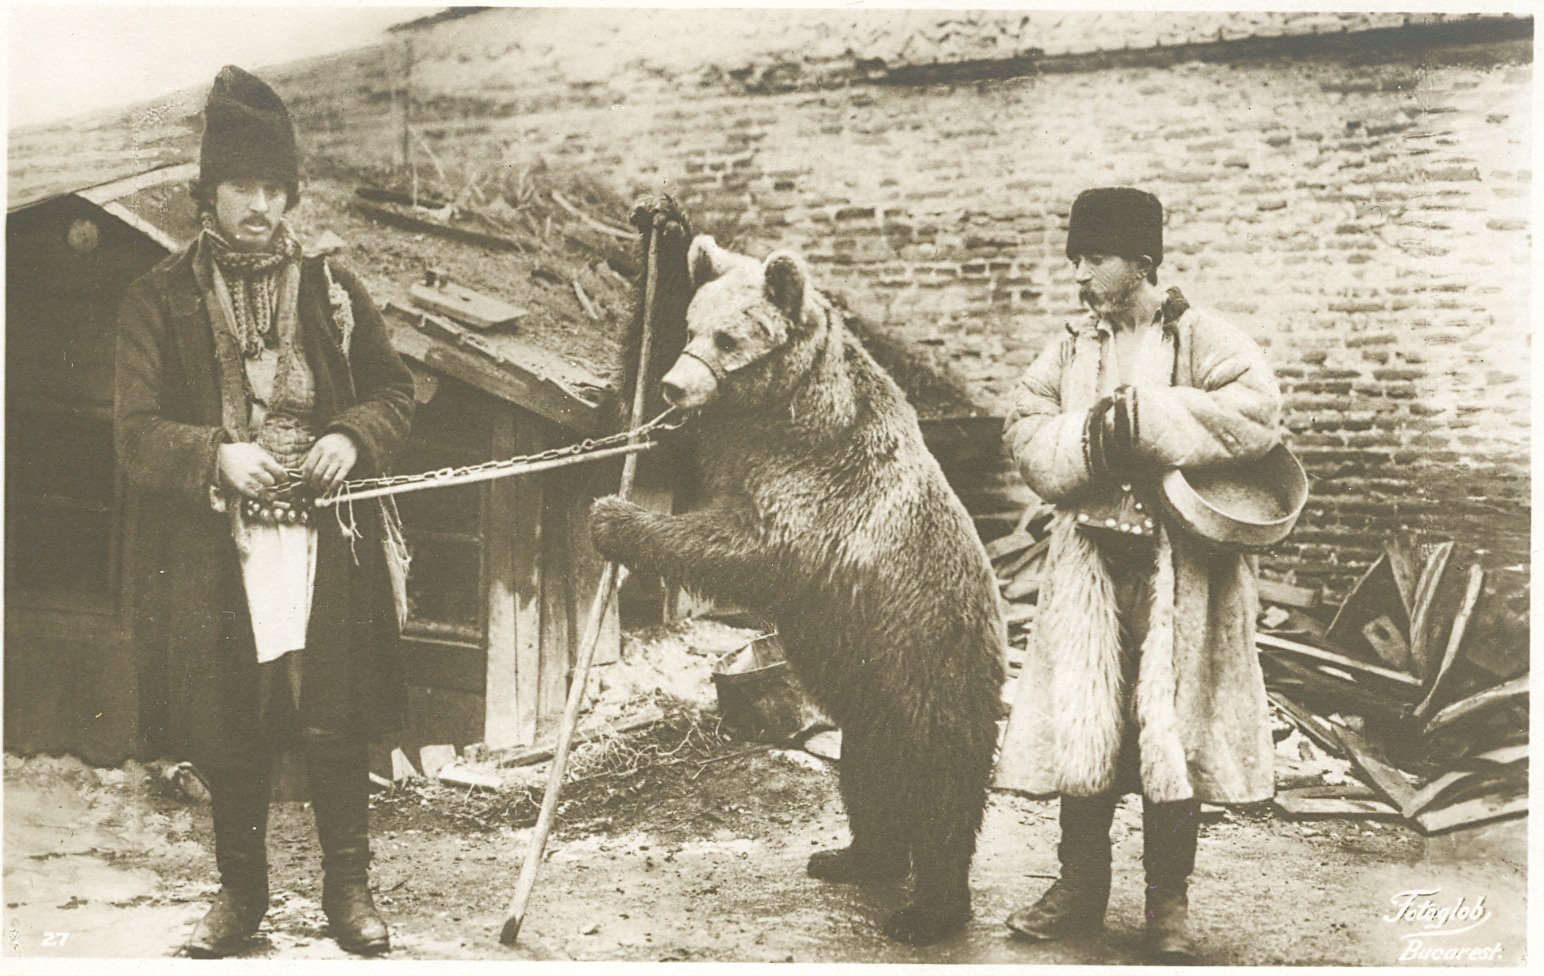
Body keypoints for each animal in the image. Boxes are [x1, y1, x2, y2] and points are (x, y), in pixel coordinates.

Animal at [586, 200, 1000, 945]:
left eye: (727, 338)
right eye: (691, 329)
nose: (674, 385)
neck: (773, 410)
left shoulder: (818, 478)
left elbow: (750, 545)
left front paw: (613, 517)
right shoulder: (718, 438)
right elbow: (656, 441)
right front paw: (664, 232)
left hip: (932, 659)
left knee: (942, 786)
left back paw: (928, 910)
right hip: (870, 693)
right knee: (867, 773)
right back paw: (853, 855)